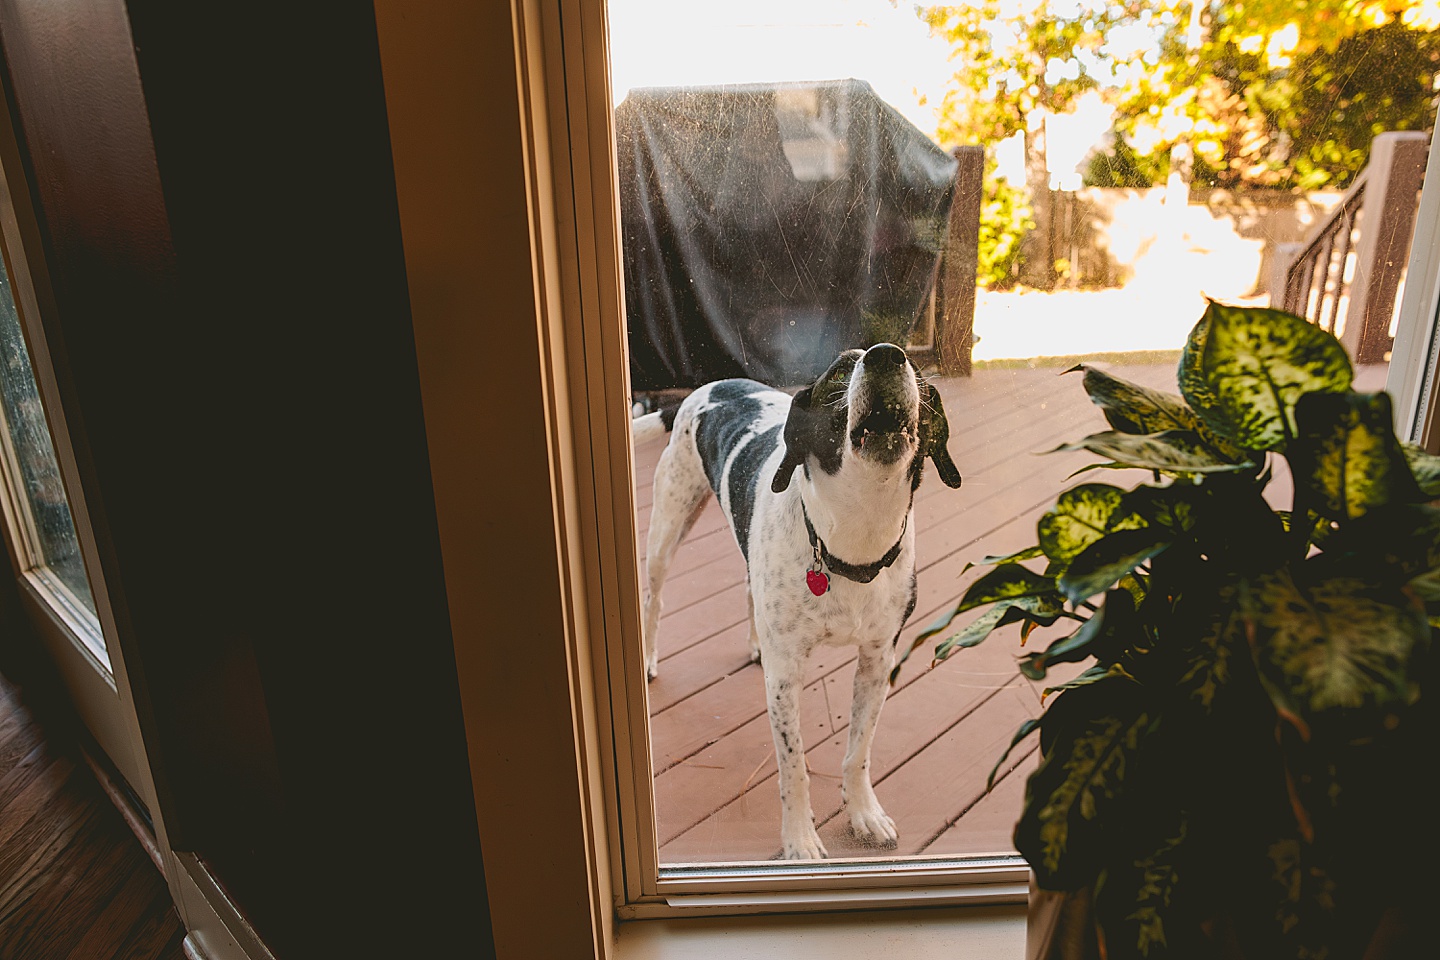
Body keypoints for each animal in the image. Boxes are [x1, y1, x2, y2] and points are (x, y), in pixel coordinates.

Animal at [636, 345, 961, 863]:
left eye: (914, 369)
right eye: (841, 370)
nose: (887, 356)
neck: (854, 542)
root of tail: (711, 386)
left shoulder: (878, 660)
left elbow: (858, 751)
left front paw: (864, 812)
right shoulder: (786, 676)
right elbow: (795, 768)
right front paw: (800, 840)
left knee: (748, 588)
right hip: (668, 524)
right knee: (655, 598)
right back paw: (648, 656)